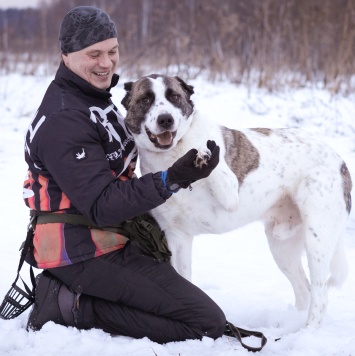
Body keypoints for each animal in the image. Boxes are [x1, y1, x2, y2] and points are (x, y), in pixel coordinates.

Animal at [122, 75, 354, 328]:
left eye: (174, 96)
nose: (166, 119)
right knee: (304, 289)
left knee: (320, 294)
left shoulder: (229, 193)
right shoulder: (177, 236)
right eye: (146, 99)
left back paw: (306, 331)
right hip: (281, 246)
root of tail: (339, 158)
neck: (172, 156)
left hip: (317, 239)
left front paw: (203, 154)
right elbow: (184, 278)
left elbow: (212, 162)